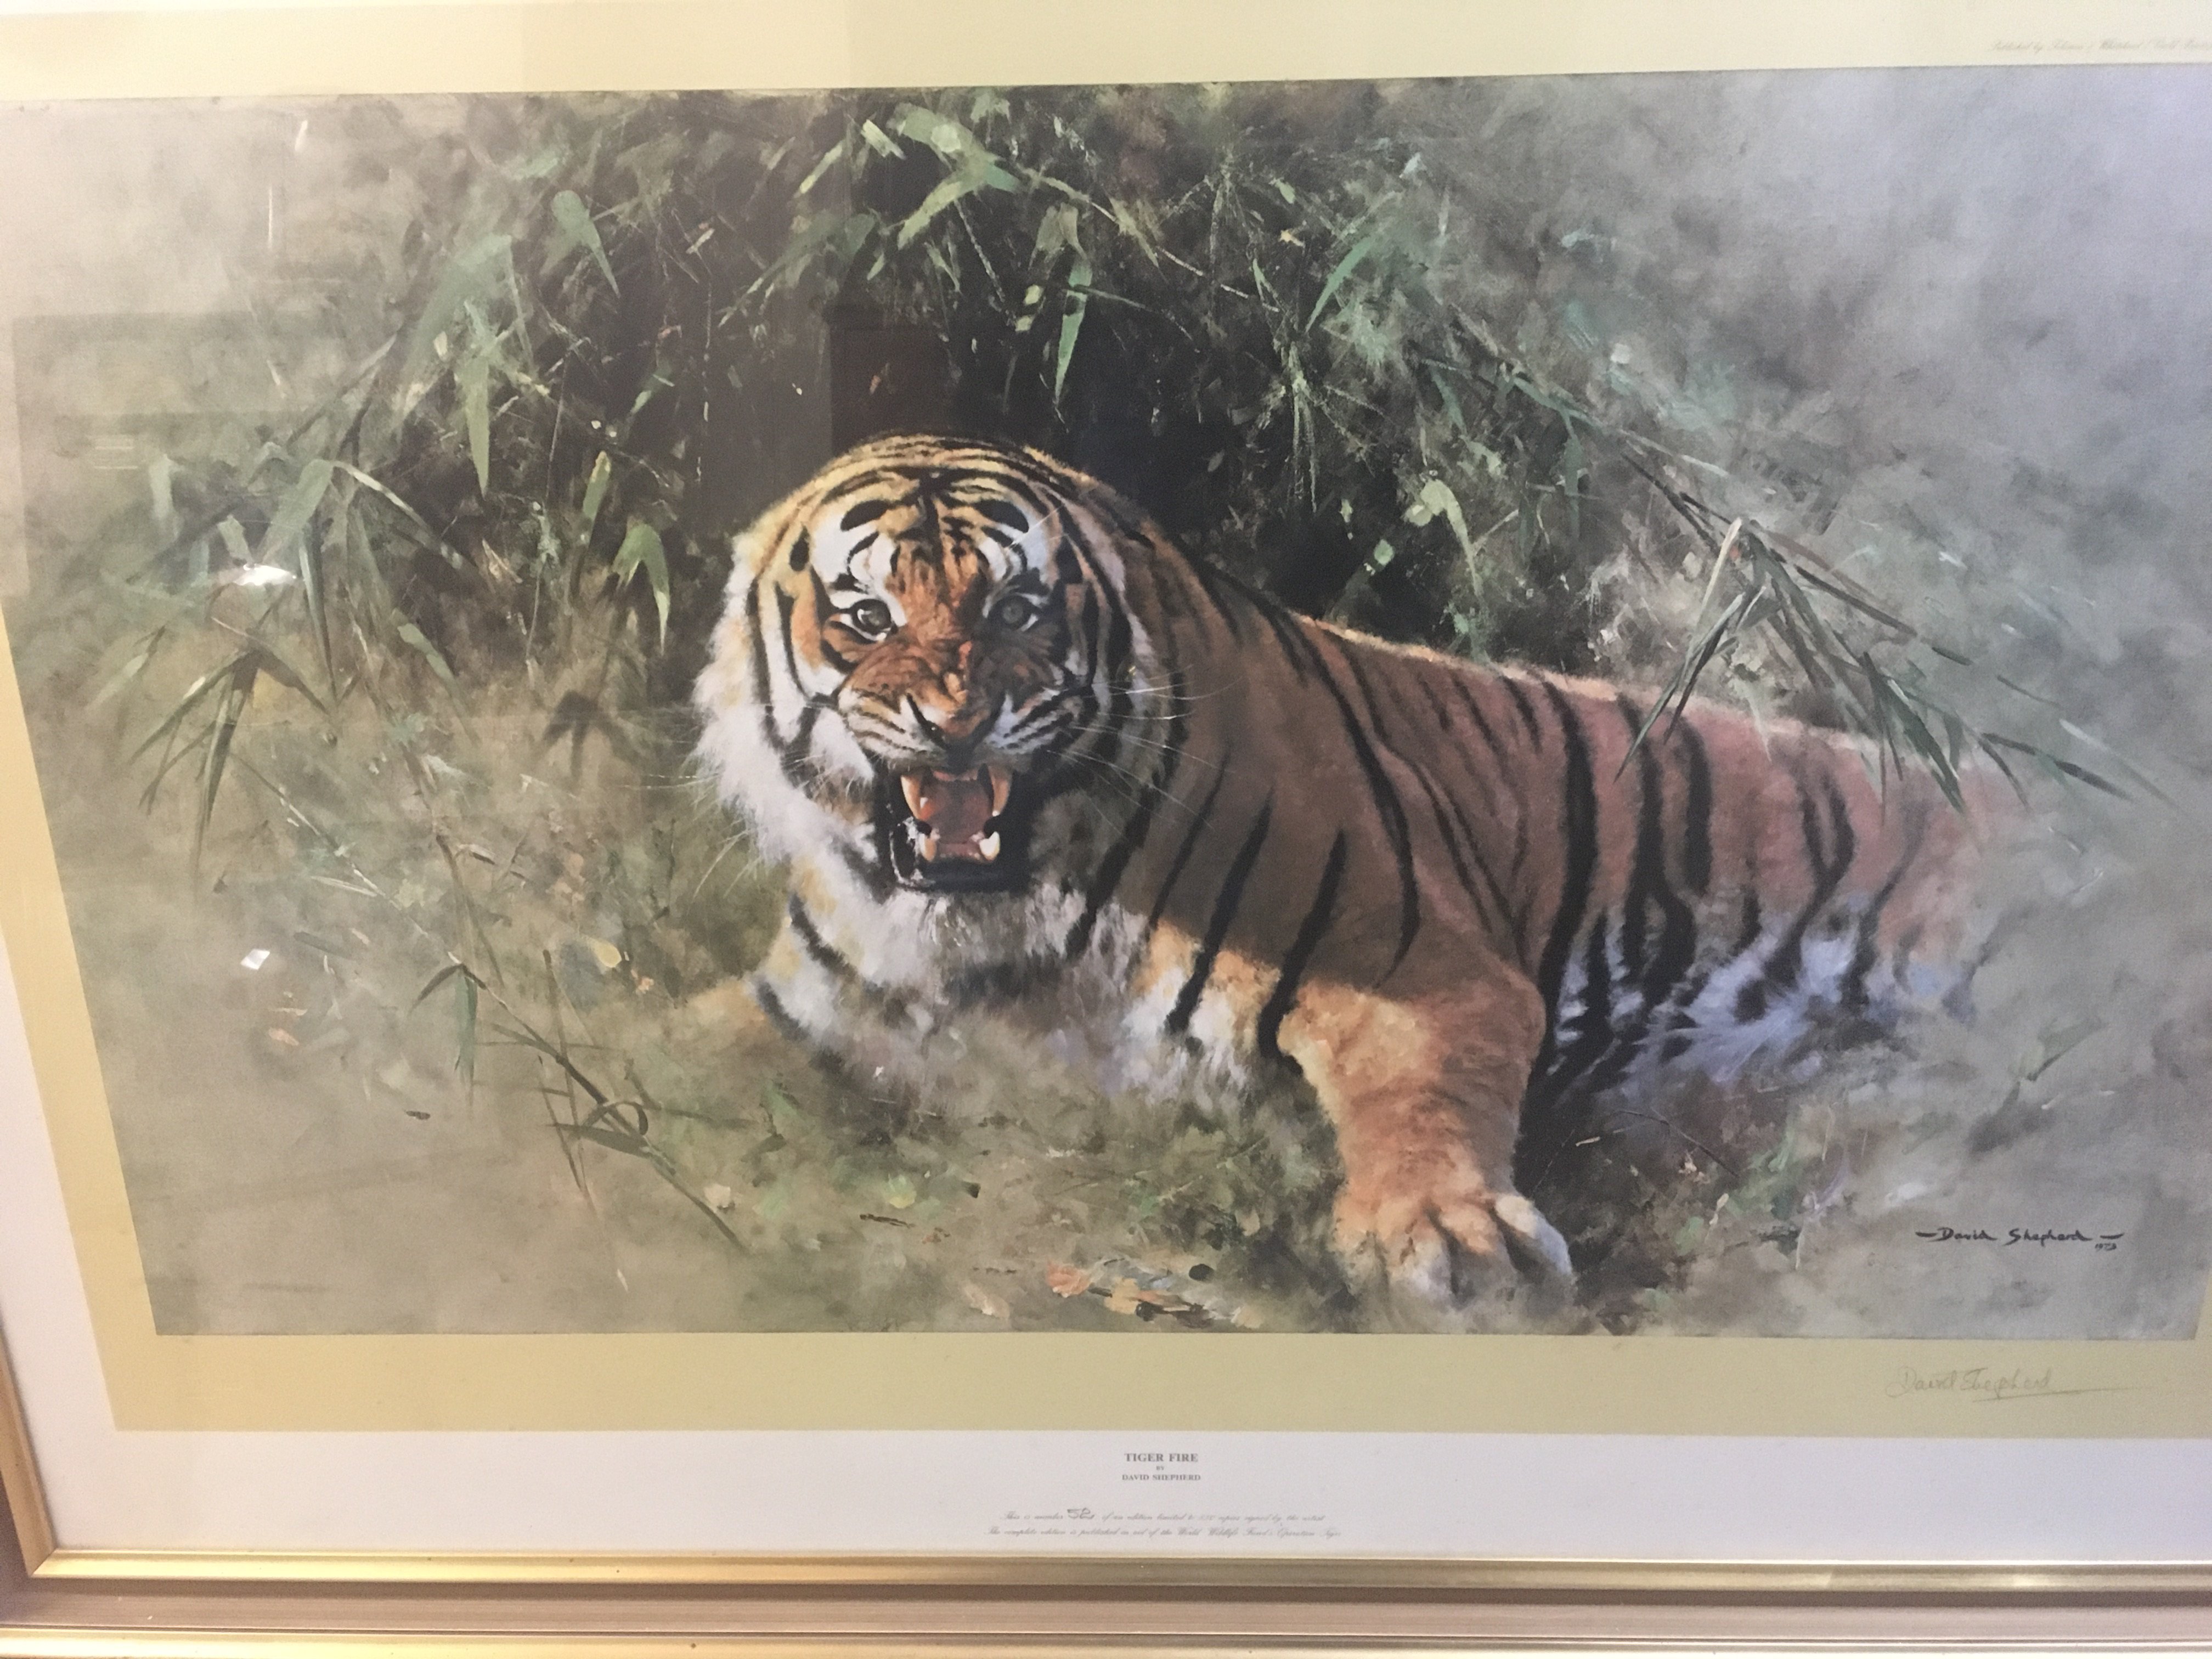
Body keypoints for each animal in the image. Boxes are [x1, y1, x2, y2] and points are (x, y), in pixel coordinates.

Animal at [692, 432, 1995, 1308]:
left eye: (1016, 607)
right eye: (865, 615)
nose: (955, 723)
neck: (1002, 920)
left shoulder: (1424, 967)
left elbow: (1420, 1100)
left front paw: (1451, 1240)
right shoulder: (804, 1004)